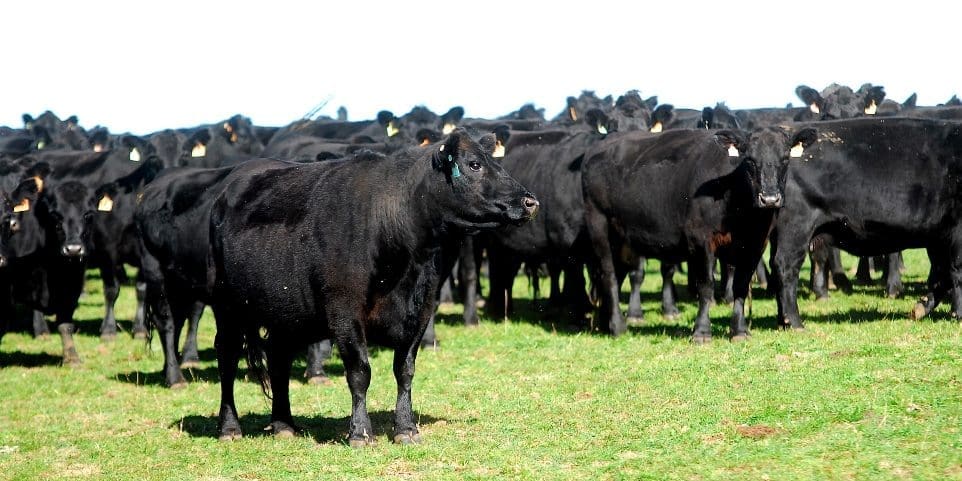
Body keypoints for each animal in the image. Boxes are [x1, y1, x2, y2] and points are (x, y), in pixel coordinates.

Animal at [207, 128, 536, 442]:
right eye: (474, 164)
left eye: (495, 161)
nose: (529, 201)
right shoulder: (344, 312)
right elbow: (359, 372)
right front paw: (360, 432)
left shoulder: (420, 312)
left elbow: (405, 370)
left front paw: (406, 428)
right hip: (226, 304)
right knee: (228, 357)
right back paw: (230, 427)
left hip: (283, 311)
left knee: (279, 358)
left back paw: (284, 424)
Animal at [580, 125, 808, 340]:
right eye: (750, 160)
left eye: (785, 158)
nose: (770, 199)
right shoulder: (701, 240)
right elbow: (706, 286)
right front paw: (702, 332)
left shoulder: (755, 244)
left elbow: (741, 286)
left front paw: (739, 330)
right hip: (599, 226)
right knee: (609, 275)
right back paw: (618, 326)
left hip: (621, 239)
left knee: (615, 275)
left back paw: (606, 323)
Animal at [768, 118, 962, 328]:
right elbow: (957, 271)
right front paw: (957, 314)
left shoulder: (939, 236)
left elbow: (942, 274)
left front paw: (921, 308)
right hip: (797, 226)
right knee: (785, 266)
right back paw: (794, 322)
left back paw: (782, 321)